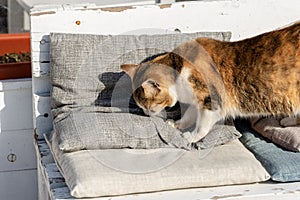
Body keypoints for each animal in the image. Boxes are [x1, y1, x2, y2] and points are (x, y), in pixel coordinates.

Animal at [121, 22, 300, 144]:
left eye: (150, 107)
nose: (147, 114)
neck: (180, 67)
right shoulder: (196, 101)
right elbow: (189, 115)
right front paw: (178, 124)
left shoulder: (211, 99)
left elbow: (202, 124)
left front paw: (191, 136)